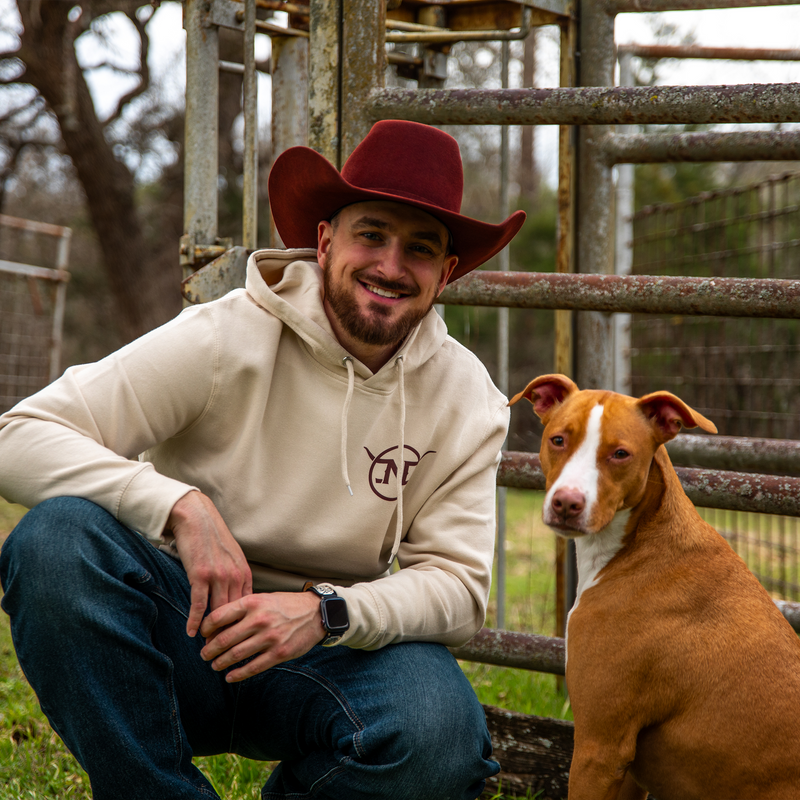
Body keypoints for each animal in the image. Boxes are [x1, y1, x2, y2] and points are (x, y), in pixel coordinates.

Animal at [510, 376, 800, 800]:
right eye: (558, 440)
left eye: (620, 454)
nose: (567, 503)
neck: (636, 545)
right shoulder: (627, 764)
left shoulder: (600, 747)